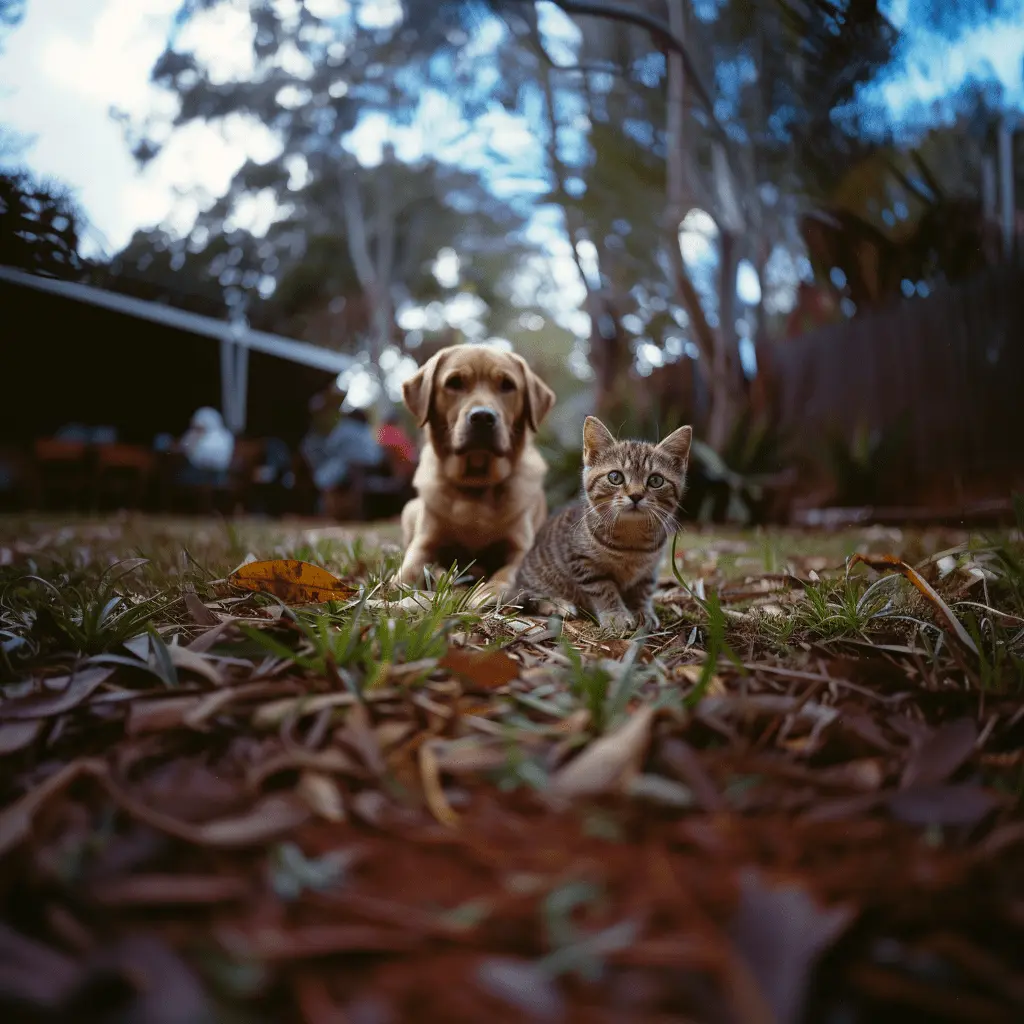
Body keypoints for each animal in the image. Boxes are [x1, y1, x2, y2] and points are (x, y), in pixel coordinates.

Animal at [399, 344, 557, 598]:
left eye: (507, 385)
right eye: (454, 382)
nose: (482, 416)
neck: (476, 485)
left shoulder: (521, 548)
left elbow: (507, 574)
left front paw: (488, 592)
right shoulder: (423, 543)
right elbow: (406, 572)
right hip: (409, 510)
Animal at [516, 415, 692, 630]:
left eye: (656, 480)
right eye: (615, 477)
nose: (636, 495)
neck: (631, 539)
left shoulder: (650, 568)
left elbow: (643, 590)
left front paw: (643, 612)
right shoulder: (583, 561)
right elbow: (603, 588)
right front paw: (616, 615)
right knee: (527, 596)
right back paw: (558, 604)